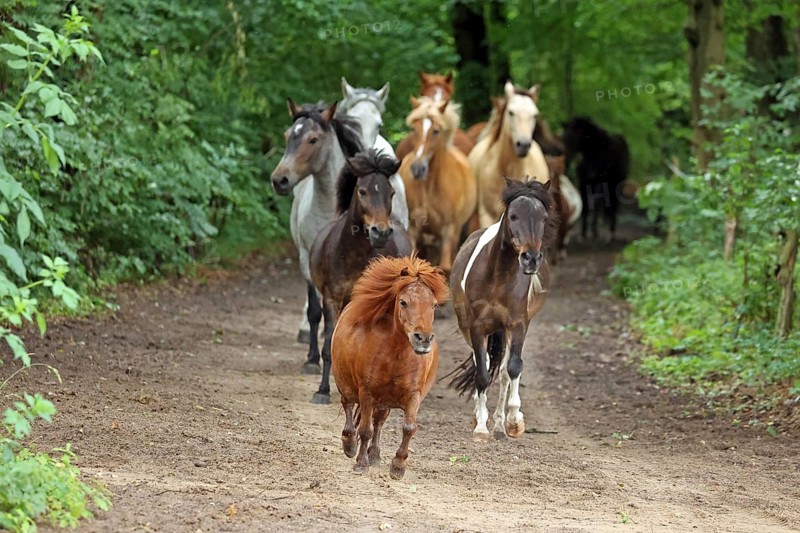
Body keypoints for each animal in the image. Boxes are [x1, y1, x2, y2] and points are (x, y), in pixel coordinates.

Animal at [270, 99, 363, 374]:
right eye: (288, 135)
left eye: (313, 139)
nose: (279, 180)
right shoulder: (307, 261)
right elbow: (314, 311)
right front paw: (312, 359)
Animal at [308, 149, 413, 404]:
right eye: (362, 191)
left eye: (391, 192)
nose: (381, 233)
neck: (353, 255)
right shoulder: (331, 299)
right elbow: (330, 344)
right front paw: (323, 390)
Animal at [332, 255, 449, 479]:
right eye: (403, 302)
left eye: (434, 305)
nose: (423, 339)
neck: (395, 356)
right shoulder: (366, 393)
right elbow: (365, 429)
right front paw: (361, 463)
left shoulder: (413, 395)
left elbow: (409, 428)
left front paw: (398, 466)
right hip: (348, 386)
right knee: (349, 408)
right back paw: (350, 445)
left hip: (384, 401)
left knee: (379, 422)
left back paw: (375, 454)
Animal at [399, 96, 478, 275]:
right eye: (414, 129)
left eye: (435, 131)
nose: (417, 168)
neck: (430, 188)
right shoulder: (413, 227)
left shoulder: (448, 230)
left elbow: (445, 267)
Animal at [447, 179, 557, 441]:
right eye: (513, 215)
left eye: (543, 217)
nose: (531, 258)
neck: (499, 277)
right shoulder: (477, 327)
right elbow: (482, 372)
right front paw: (480, 427)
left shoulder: (517, 324)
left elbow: (513, 368)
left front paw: (514, 422)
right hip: (469, 327)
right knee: (485, 364)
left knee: (504, 372)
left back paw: (499, 424)